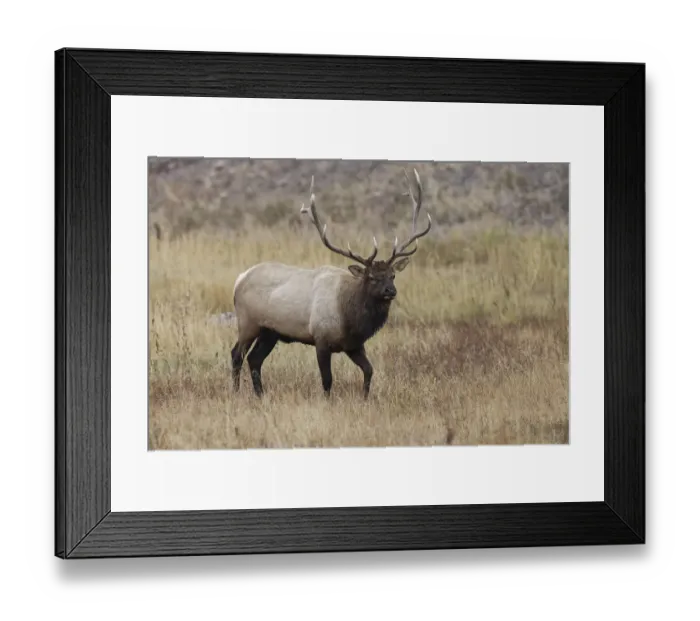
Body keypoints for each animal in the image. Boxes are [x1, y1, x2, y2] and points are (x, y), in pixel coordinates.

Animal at [230, 168, 432, 398]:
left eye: (393, 275)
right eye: (371, 277)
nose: (391, 291)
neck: (350, 318)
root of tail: (240, 279)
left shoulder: (353, 345)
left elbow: (369, 370)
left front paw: (365, 398)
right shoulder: (321, 339)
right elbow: (327, 380)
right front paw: (327, 401)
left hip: (270, 331)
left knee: (254, 359)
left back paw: (260, 395)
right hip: (248, 322)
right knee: (237, 354)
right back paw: (236, 392)